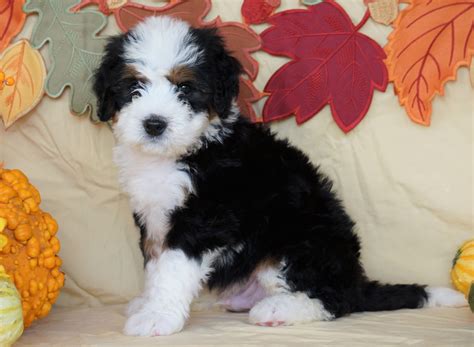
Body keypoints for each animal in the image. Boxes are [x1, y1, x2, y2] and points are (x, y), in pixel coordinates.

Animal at [92, 15, 466, 338]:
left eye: (185, 88)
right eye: (133, 87)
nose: (154, 124)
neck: (176, 154)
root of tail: (356, 278)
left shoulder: (205, 216)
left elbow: (172, 267)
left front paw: (158, 316)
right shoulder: (152, 216)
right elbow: (155, 264)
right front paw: (147, 302)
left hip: (296, 239)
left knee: (335, 299)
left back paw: (277, 310)